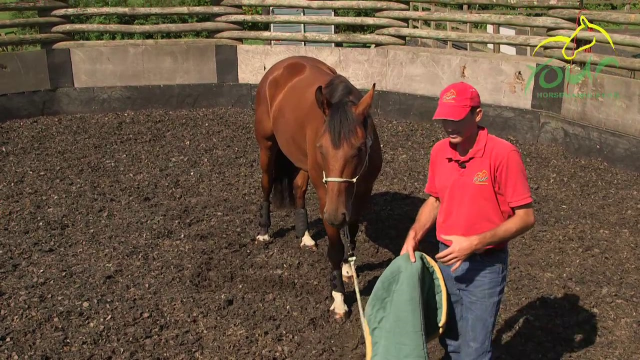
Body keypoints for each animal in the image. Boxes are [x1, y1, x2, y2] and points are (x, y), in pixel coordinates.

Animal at [254, 56, 384, 324]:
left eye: (359, 148)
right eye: (321, 147)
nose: (334, 216)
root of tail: (282, 65)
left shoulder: (361, 194)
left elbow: (351, 233)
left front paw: (348, 267)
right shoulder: (328, 199)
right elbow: (335, 248)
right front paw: (339, 299)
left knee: (298, 190)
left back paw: (304, 235)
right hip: (267, 146)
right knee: (266, 184)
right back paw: (264, 231)